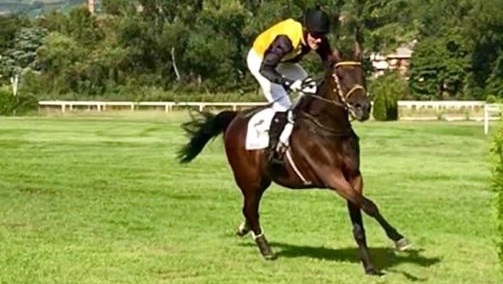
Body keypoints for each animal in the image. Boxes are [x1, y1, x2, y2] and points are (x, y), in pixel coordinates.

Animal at [177, 42, 414, 276]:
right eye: (339, 75)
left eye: (361, 74)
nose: (362, 107)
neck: (329, 128)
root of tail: (235, 117)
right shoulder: (332, 177)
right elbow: (369, 205)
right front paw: (399, 239)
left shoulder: (354, 177)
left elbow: (359, 218)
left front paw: (369, 266)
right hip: (249, 179)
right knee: (251, 209)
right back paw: (265, 249)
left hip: (263, 180)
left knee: (249, 210)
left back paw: (245, 229)